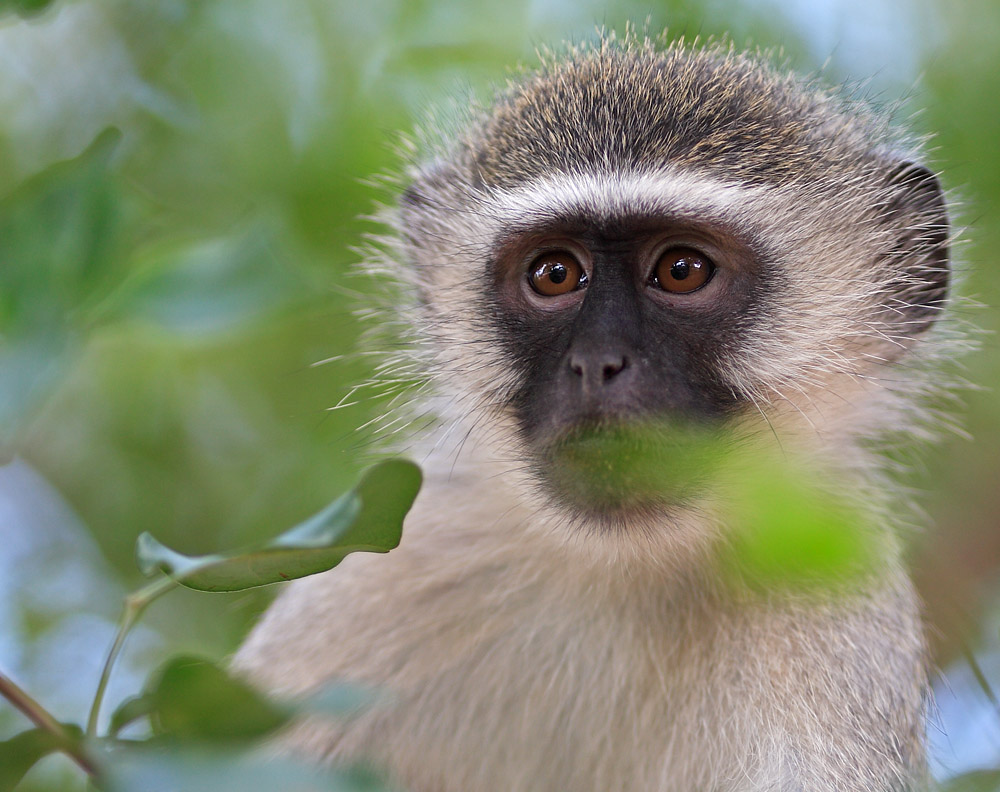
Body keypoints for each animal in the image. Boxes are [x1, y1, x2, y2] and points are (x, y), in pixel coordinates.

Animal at [234, 32, 952, 792]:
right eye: (555, 275)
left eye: (682, 271)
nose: (597, 363)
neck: (627, 565)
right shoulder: (387, 568)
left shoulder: (834, 605)